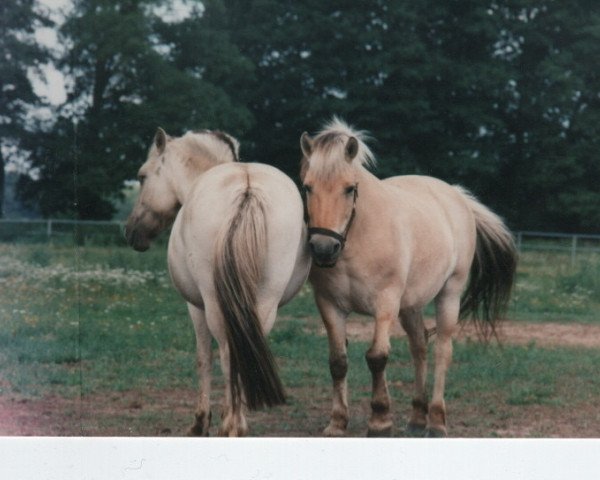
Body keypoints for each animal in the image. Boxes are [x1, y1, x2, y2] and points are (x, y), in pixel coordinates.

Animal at [122, 126, 310, 436]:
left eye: (142, 176)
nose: (131, 232)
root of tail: (247, 188)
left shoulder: (196, 307)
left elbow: (203, 358)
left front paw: (200, 422)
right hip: (264, 302)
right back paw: (237, 424)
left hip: (213, 303)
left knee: (228, 354)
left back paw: (230, 425)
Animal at [300, 118, 516, 436]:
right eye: (307, 187)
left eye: (350, 189)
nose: (324, 249)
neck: (360, 235)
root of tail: (456, 196)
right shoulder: (329, 304)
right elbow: (338, 361)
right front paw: (337, 422)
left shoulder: (385, 303)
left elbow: (377, 357)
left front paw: (380, 421)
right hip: (411, 305)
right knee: (419, 347)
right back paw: (417, 418)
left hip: (449, 294)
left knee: (442, 351)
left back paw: (436, 421)